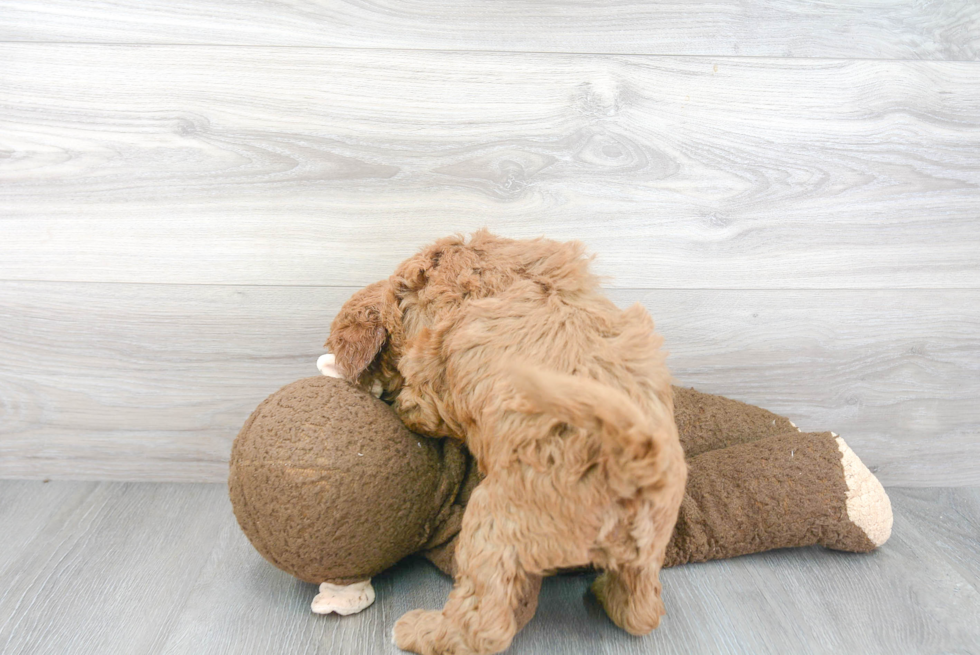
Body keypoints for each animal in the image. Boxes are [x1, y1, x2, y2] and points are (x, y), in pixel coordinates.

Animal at [326, 232, 684, 655]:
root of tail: (634, 462)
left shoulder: (434, 373)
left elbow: (423, 403)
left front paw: (402, 407)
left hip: (493, 524)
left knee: (485, 623)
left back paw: (422, 631)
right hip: (649, 546)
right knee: (641, 608)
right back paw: (606, 596)